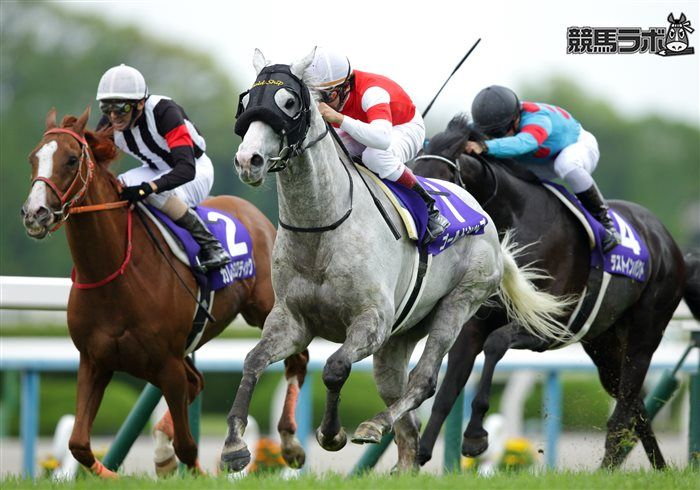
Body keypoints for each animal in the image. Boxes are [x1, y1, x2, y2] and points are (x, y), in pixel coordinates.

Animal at [20, 107, 310, 477]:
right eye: (33, 158)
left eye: (71, 159)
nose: (35, 213)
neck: (115, 273)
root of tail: (255, 214)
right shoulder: (94, 361)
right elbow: (79, 445)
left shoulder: (167, 363)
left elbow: (188, 446)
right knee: (197, 382)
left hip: (267, 307)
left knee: (297, 360)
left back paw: (290, 444)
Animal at [219, 49, 575, 473]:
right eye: (247, 102)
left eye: (288, 102)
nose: (248, 160)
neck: (321, 230)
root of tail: (484, 218)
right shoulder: (291, 320)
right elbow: (253, 361)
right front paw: (234, 446)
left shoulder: (371, 321)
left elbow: (335, 368)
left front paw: (332, 433)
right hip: (400, 336)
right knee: (402, 407)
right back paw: (404, 463)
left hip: (459, 303)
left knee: (424, 381)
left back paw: (375, 424)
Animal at [411, 114, 699, 469]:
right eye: (413, 171)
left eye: (443, 182)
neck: (513, 220)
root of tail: (671, 245)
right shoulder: (474, 325)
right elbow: (449, 387)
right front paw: (418, 455)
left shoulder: (550, 325)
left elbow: (495, 345)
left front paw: (476, 436)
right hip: (604, 344)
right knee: (635, 404)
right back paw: (657, 467)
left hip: (645, 333)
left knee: (625, 407)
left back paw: (607, 469)